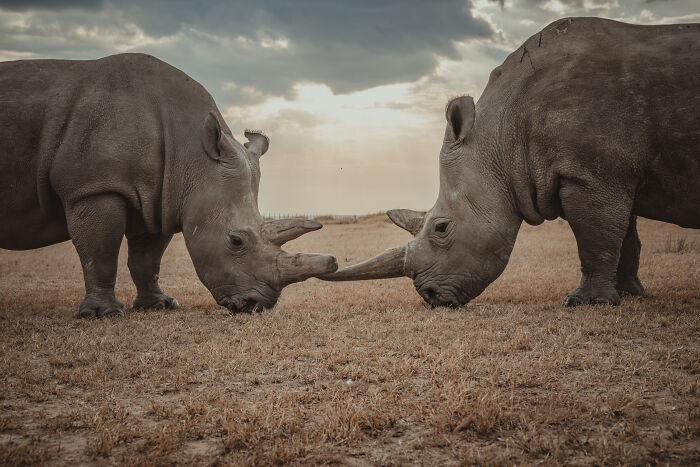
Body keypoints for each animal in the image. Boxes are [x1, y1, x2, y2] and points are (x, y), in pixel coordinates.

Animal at [0, 53, 337, 318]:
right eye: (236, 241)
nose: (257, 305)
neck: (192, 155)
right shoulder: (93, 186)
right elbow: (100, 252)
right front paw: (102, 314)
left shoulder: (158, 197)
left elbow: (147, 259)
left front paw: (159, 305)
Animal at [324, 18, 699, 307]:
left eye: (441, 228)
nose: (430, 297)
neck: (502, 137)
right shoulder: (609, 173)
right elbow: (624, 237)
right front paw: (628, 294)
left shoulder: (590, 173)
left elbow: (595, 237)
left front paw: (585, 302)